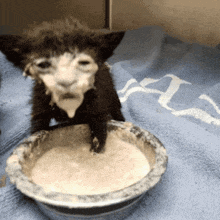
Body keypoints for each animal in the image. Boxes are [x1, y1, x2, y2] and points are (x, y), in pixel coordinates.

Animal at [0, 17, 125, 153]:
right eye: (43, 65)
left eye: (83, 62)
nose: (66, 82)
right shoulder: (40, 108)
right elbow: (37, 131)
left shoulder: (98, 104)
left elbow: (99, 129)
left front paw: (96, 150)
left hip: (111, 92)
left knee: (116, 109)